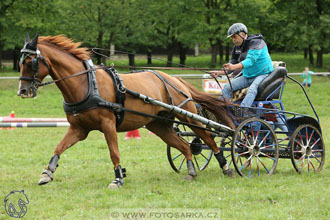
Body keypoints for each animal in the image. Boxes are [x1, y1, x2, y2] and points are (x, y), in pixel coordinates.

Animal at [17, 33, 235, 188]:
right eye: (20, 62)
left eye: (30, 62)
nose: (22, 91)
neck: (86, 84)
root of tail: (174, 78)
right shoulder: (79, 129)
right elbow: (59, 147)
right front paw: (47, 173)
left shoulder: (108, 124)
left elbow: (114, 153)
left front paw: (118, 179)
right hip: (159, 125)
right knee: (185, 146)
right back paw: (191, 172)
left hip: (188, 116)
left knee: (208, 138)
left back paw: (226, 166)